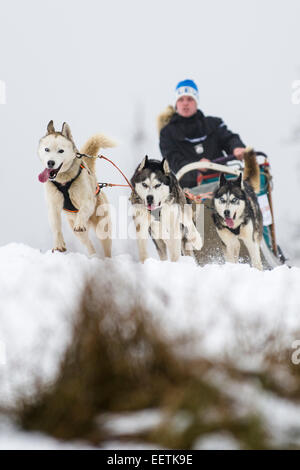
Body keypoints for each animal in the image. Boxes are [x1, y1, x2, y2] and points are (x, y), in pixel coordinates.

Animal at [38, 119, 115, 255]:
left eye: (61, 151)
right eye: (47, 149)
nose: (50, 162)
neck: (63, 182)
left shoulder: (87, 202)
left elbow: (83, 210)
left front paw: (80, 223)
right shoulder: (53, 206)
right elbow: (56, 227)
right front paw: (59, 245)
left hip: (102, 228)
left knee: (105, 245)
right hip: (79, 233)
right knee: (88, 244)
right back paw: (93, 255)